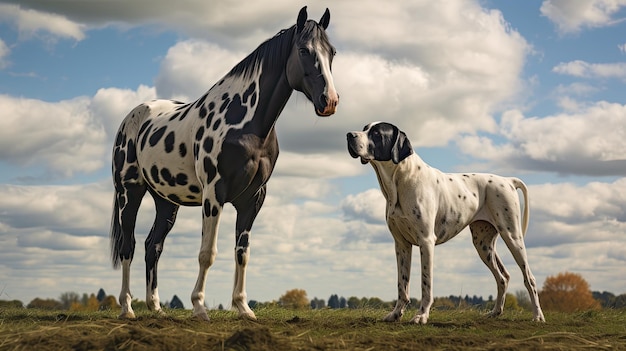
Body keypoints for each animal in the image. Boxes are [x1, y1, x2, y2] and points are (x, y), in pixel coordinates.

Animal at [109, 7, 338, 322]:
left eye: (332, 52)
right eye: (304, 50)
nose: (330, 101)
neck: (247, 123)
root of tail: (134, 116)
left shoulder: (253, 199)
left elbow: (242, 252)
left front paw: (243, 307)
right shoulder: (214, 194)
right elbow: (208, 253)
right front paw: (199, 306)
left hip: (166, 200)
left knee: (152, 246)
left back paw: (156, 308)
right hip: (129, 192)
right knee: (128, 246)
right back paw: (127, 307)